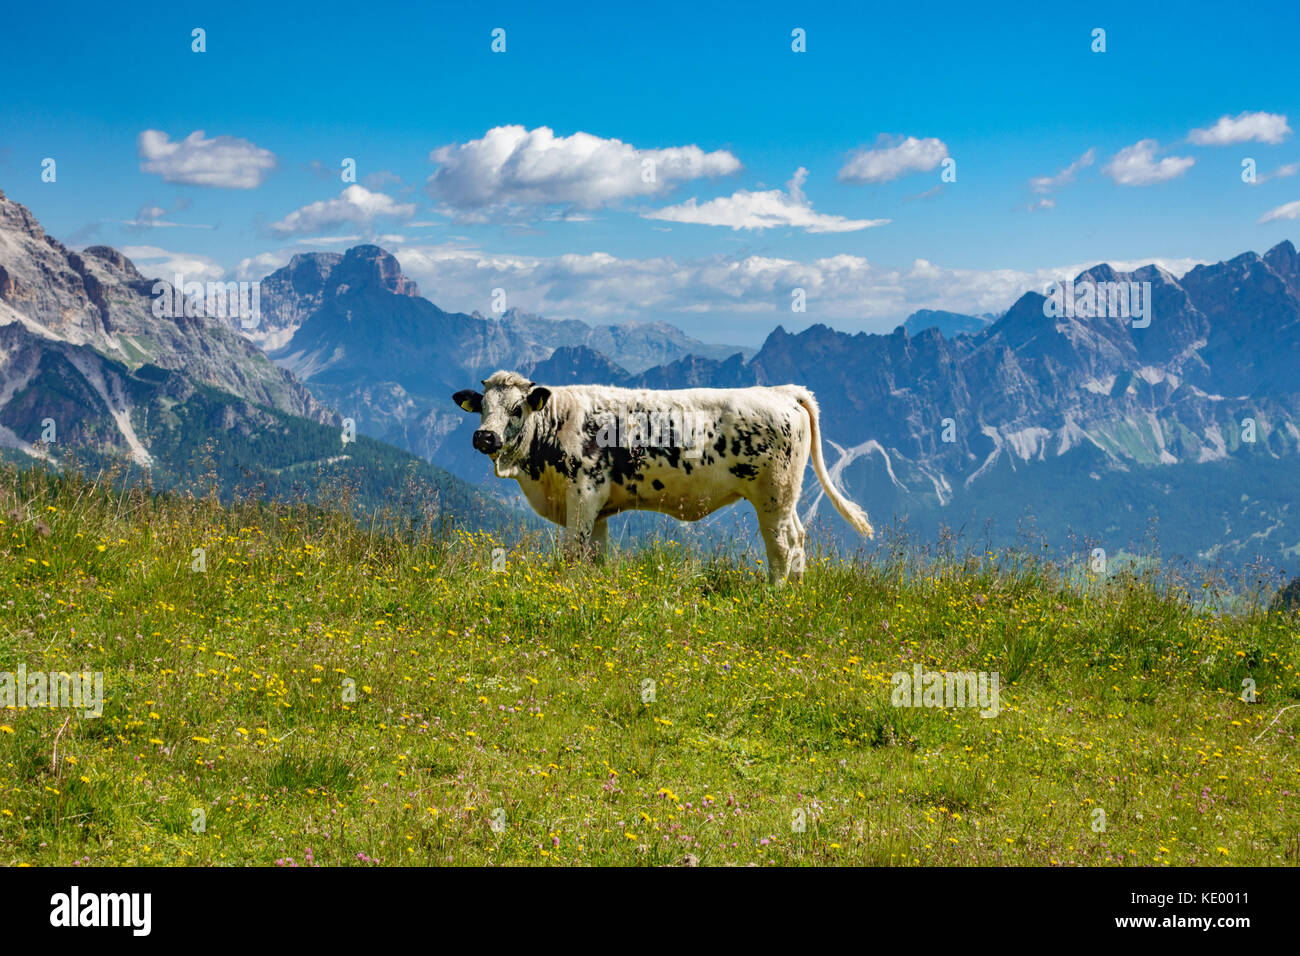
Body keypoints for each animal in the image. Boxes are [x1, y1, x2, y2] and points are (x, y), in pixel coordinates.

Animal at [454, 371, 873, 582]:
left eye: (516, 409)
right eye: (482, 408)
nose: (484, 437)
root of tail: (782, 391)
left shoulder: (583, 494)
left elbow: (574, 551)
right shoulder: (597, 507)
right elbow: (595, 555)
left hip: (773, 494)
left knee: (782, 545)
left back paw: (774, 593)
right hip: (785, 497)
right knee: (798, 538)